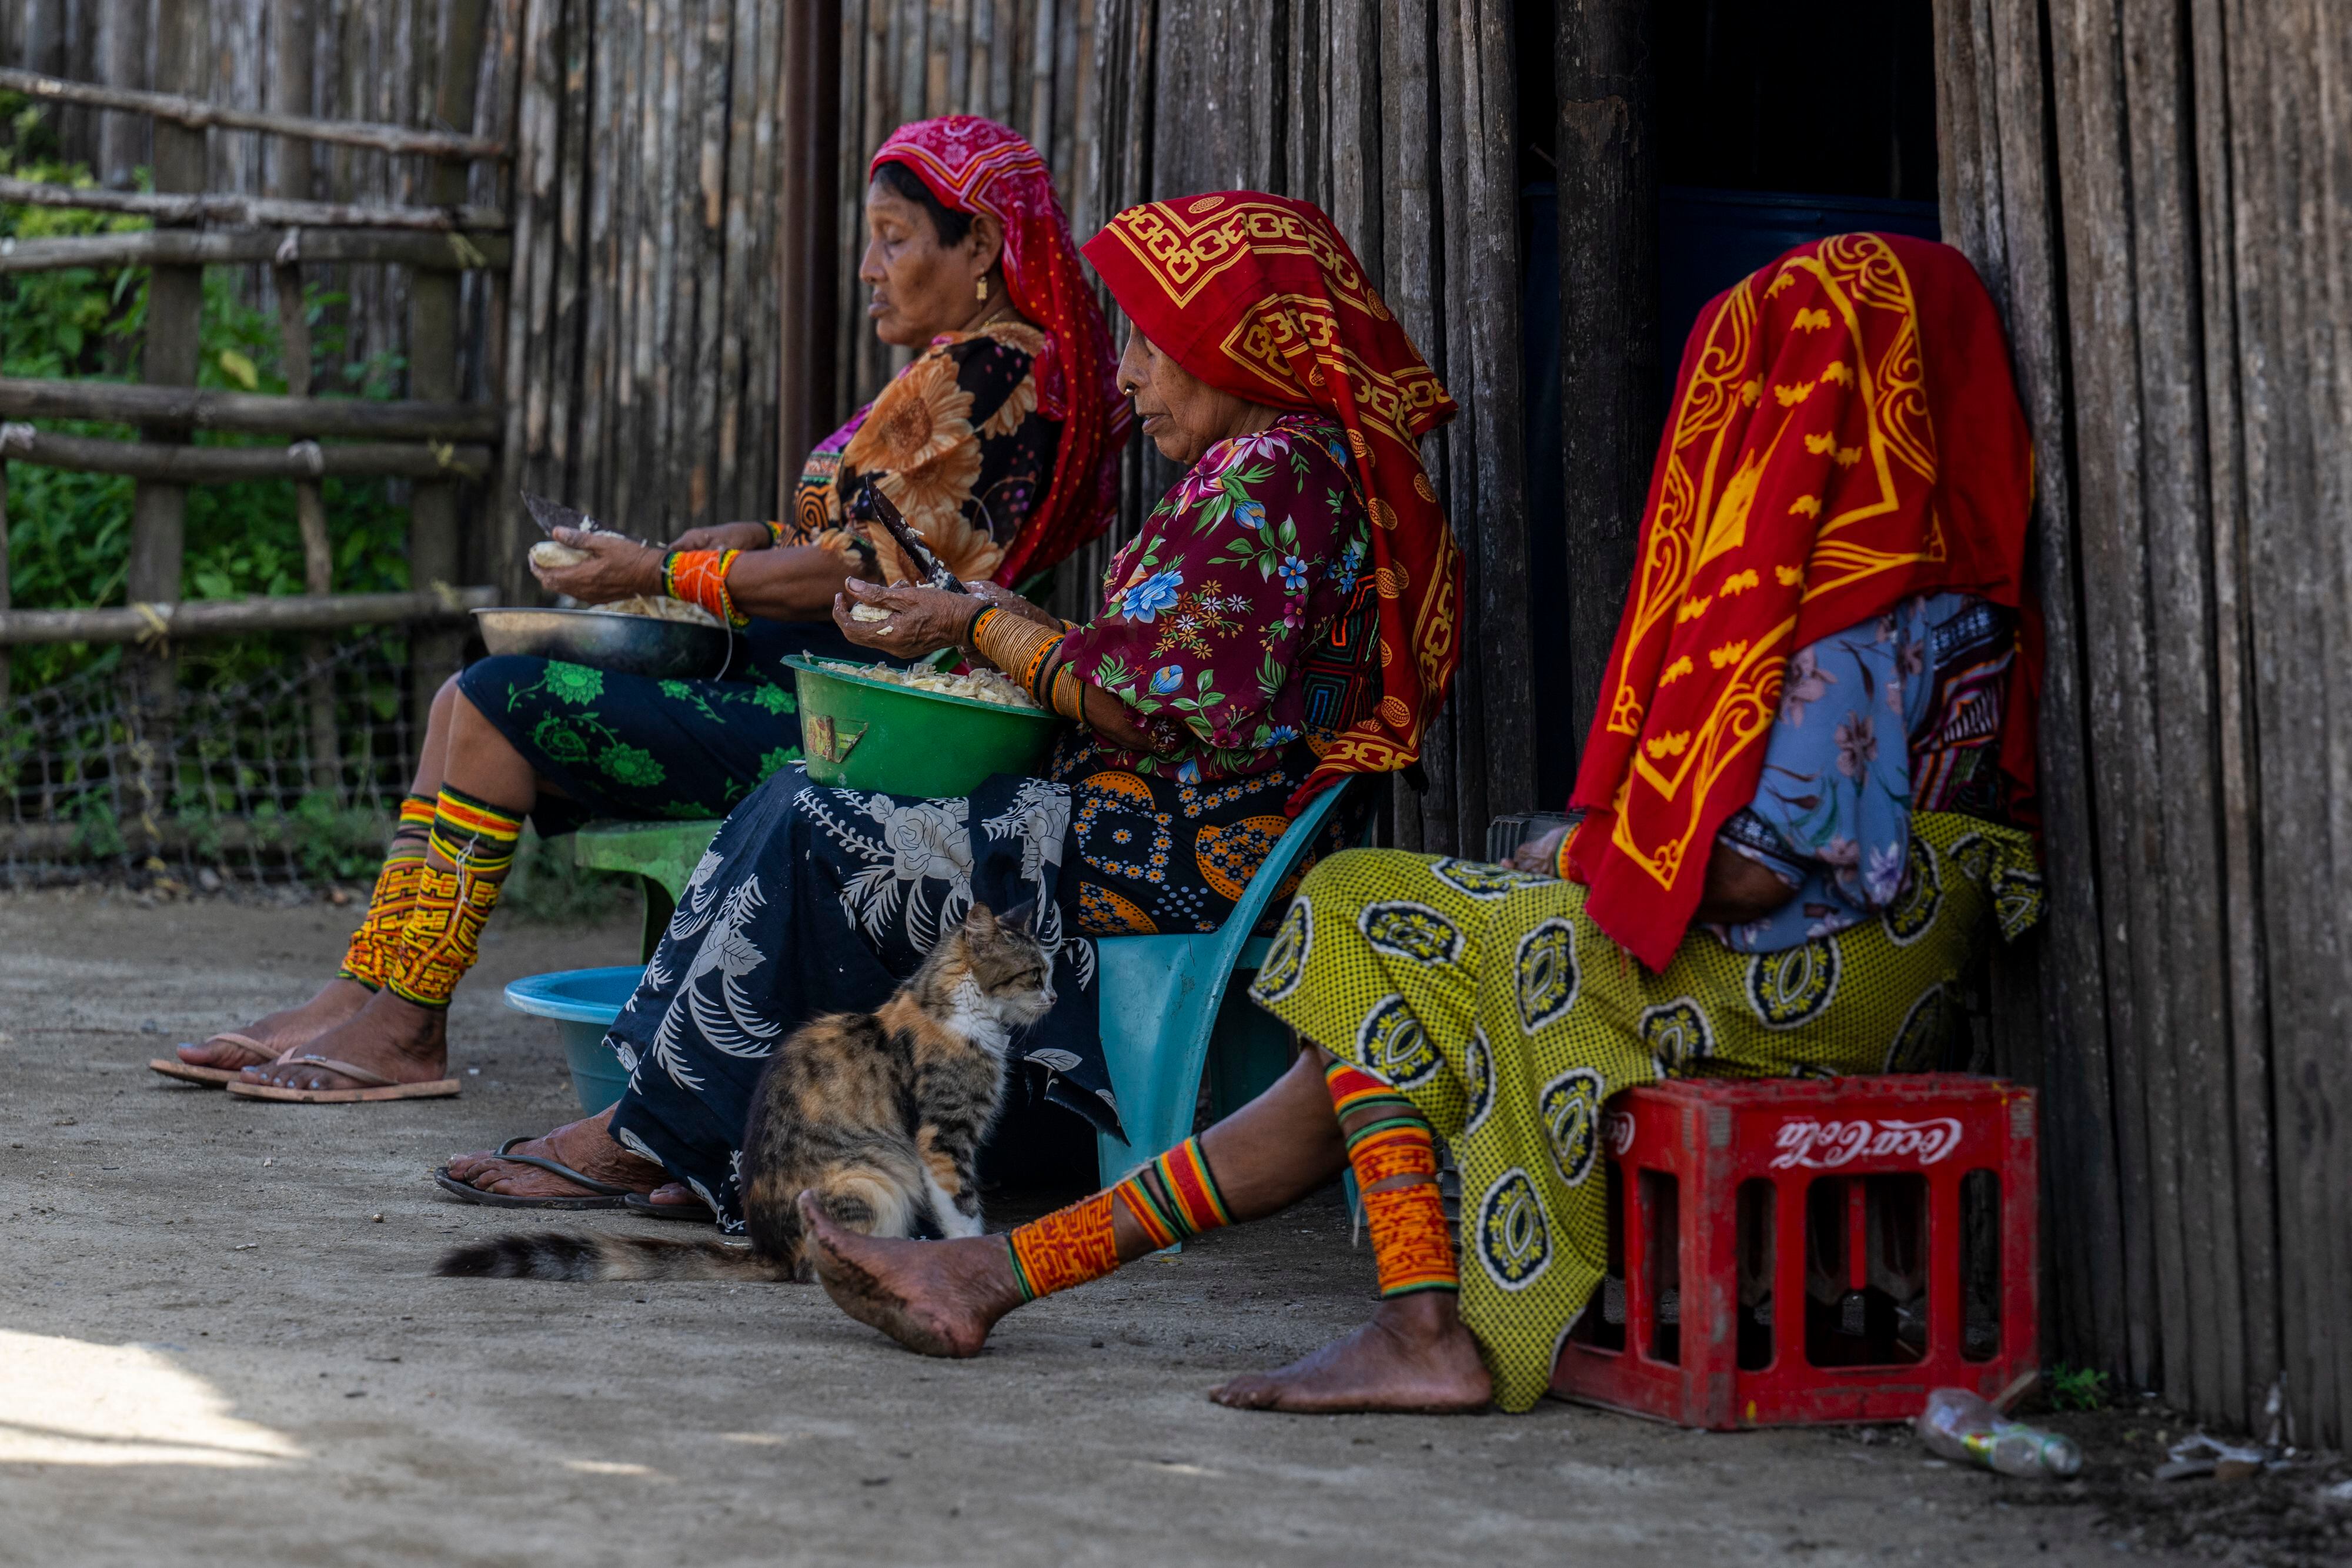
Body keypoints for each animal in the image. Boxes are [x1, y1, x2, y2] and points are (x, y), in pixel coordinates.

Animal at [440, 902, 1058, 1279]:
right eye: (1035, 973)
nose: (1055, 998)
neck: (953, 1007)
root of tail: (769, 1249)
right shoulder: (945, 1138)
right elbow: (961, 1205)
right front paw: (971, 1251)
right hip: (871, 1180)